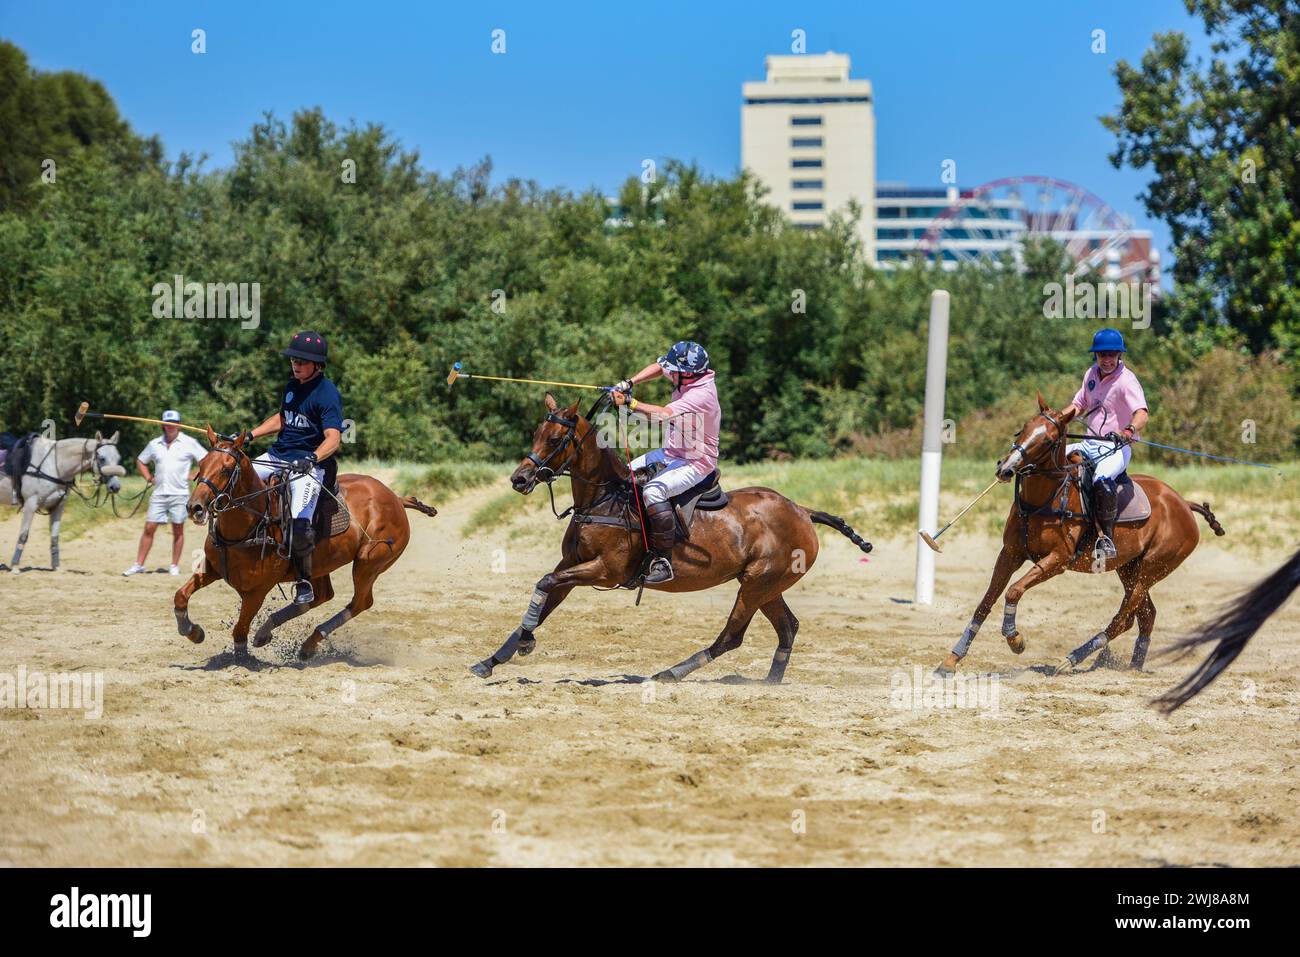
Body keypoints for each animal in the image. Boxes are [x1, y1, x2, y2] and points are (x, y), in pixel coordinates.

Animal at [0, 434, 122, 574]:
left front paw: (56, 567)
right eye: (102, 458)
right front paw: (15, 566)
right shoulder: (30, 504)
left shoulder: (58, 507)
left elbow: (54, 537)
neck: (54, 465)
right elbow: (23, 535)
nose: (115, 487)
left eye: (118, 458)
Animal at [172, 431, 439, 660]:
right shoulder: (212, 569)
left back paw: (308, 643)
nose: (194, 507)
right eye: (201, 464)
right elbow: (180, 596)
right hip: (322, 563)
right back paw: (268, 632)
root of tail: (396, 498)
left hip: (369, 562)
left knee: (360, 602)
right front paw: (193, 632)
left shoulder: (256, 591)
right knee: (319, 596)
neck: (249, 526)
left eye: (226, 469)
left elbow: (239, 629)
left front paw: (243, 658)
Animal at [467, 392, 873, 686]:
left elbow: (544, 581)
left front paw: (524, 644)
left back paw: (672, 672)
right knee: (788, 627)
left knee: (732, 637)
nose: (519, 479)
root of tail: (802, 510)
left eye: (554, 438)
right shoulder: (572, 565)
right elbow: (546, 594)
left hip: (758, 583)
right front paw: (494, 658)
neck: (603, 498)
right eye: (534, 434)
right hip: (767, 585)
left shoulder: (606, 571)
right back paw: (769, 682)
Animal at [941, 392, 1222, 676]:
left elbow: (1014, 590)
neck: (1042, 500)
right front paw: (952, 659)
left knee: (1124, 617)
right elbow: (986, 602)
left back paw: (1072, 658)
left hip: (1153, 568)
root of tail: (1183, 503)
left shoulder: (1058, 560)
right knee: (1146, 615)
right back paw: (1133, 666)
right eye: (1024, 428)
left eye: (1047, 440)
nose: (1005, 469)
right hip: (1129, 567)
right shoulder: (1010, 553)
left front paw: (1015, 639)